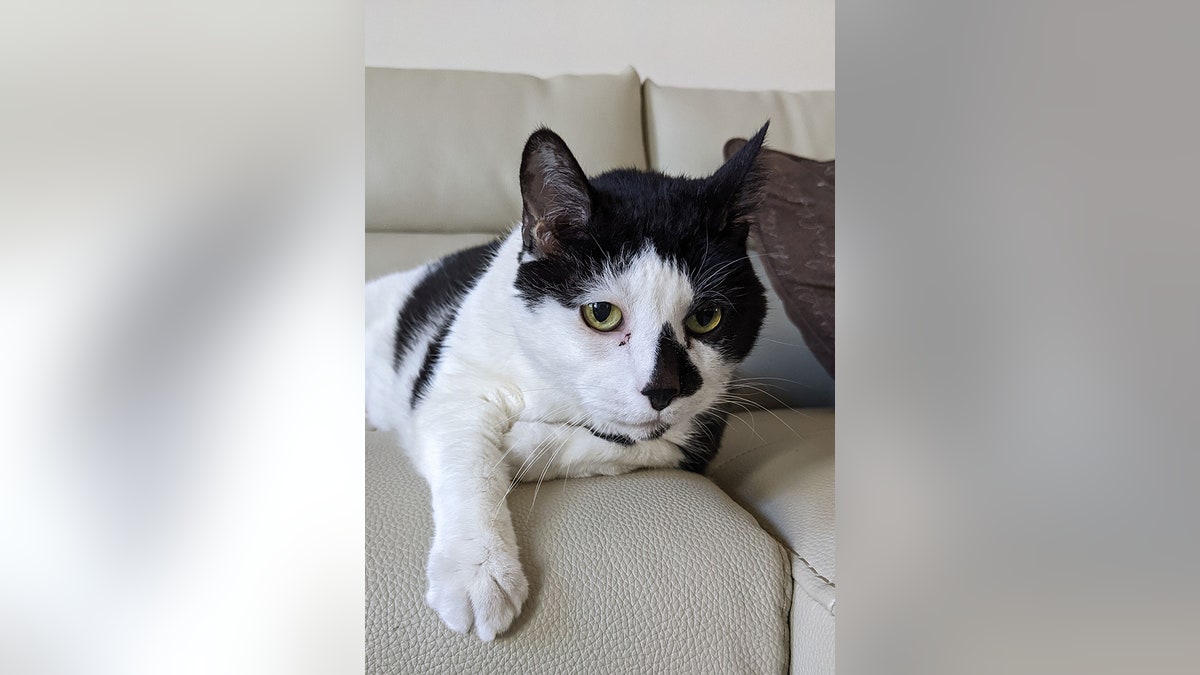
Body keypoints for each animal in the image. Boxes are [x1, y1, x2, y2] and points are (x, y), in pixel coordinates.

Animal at [362, 121, 768, 638]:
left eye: (706, 318)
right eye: (601, 313)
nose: (662, 389)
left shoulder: (706, 421)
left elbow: (627, 444)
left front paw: (518, 448)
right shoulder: (451, 385)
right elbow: (468, 457)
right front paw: (478, 572)